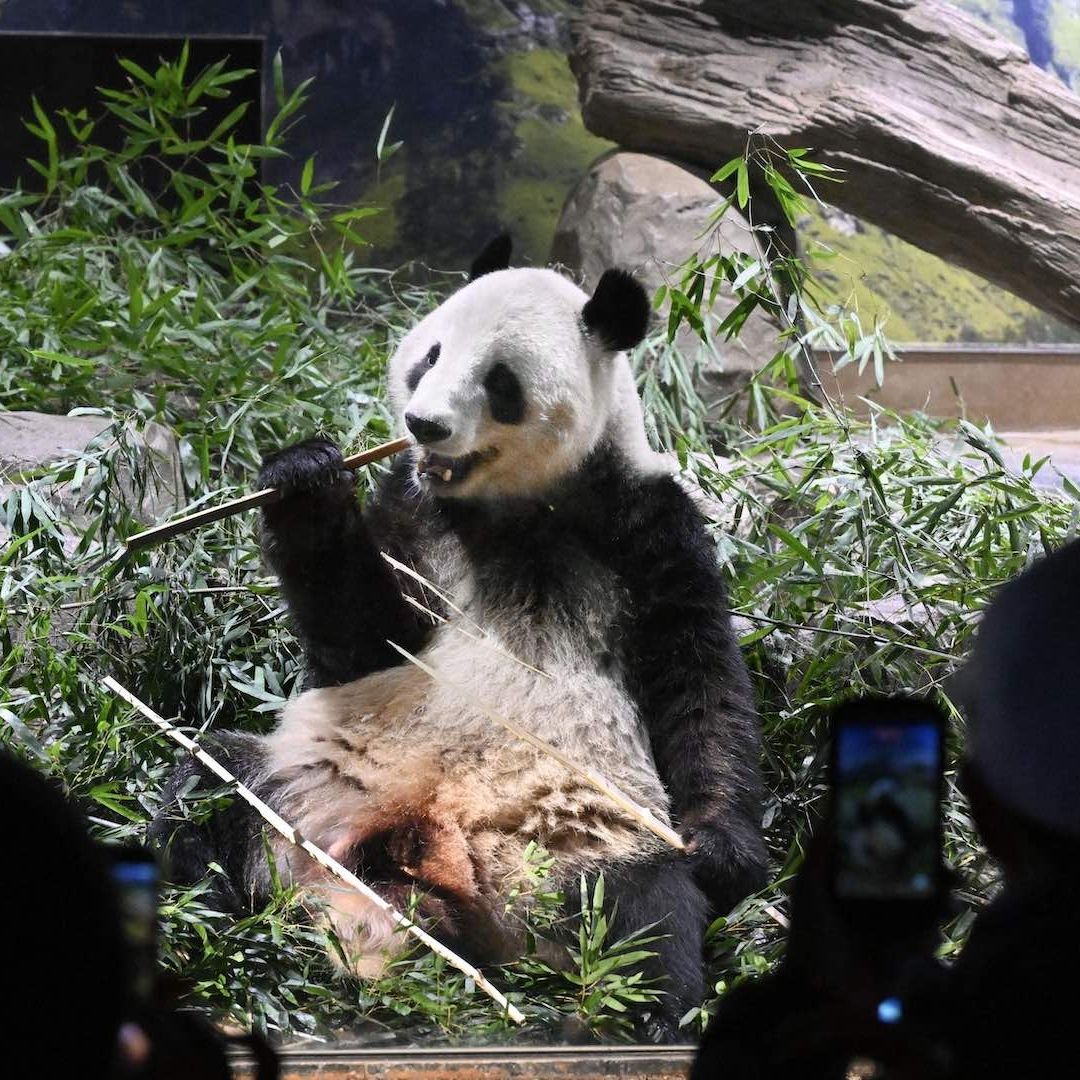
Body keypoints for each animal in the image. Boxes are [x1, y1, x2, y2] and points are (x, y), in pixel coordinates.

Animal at [154, 236, 767, 1039]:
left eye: (499, 381)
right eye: (430, 355)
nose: (423, 424)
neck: (508, 506)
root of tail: (424, 880)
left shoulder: (646, 523)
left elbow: (697, 675)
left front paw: (724, 850)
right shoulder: (413, 512)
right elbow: (364, 641)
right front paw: (306, 480)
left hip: (583, 849)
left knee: (646, 928)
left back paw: (639, 1020)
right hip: (306, 792)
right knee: (206, 793)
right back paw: (199, 923)